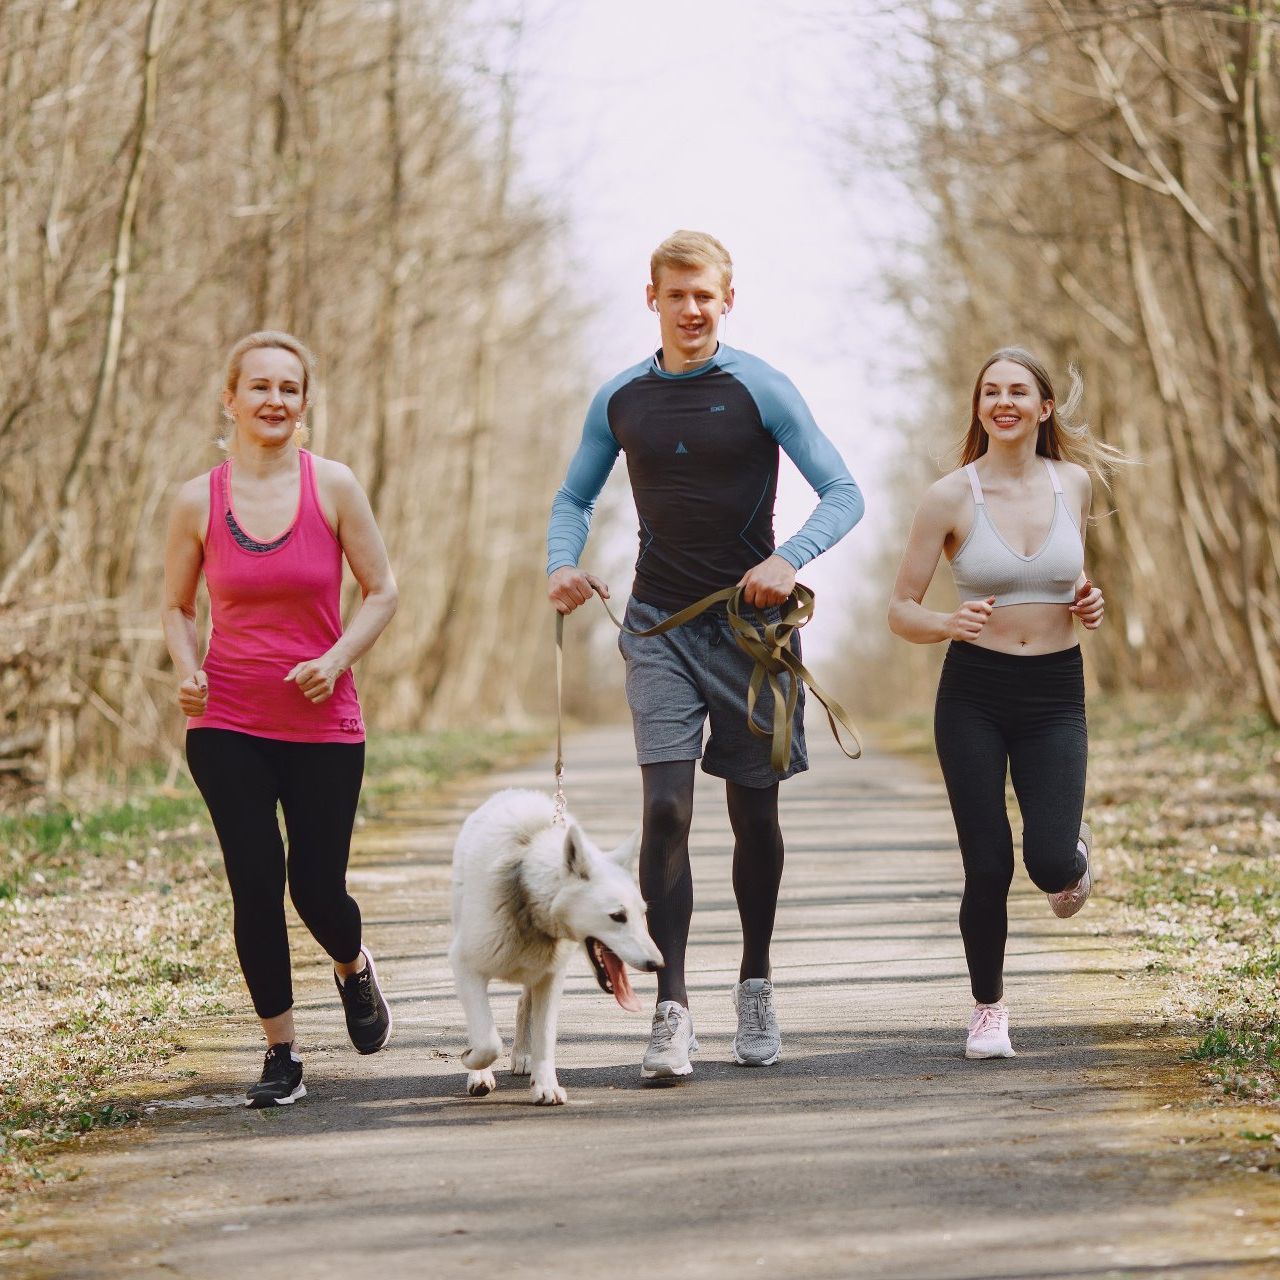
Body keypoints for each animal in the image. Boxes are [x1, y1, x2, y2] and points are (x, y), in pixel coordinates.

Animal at [448, 783, 660, 1105]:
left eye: (642, 914)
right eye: (617, 916)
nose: (658, 964)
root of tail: (515, 793)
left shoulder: (550, 978)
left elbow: (545, 1038)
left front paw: (545, 1086)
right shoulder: (466, 967)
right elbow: (486, 1039)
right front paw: (474, 1065)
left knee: (523, 1002)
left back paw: (523, 1056)